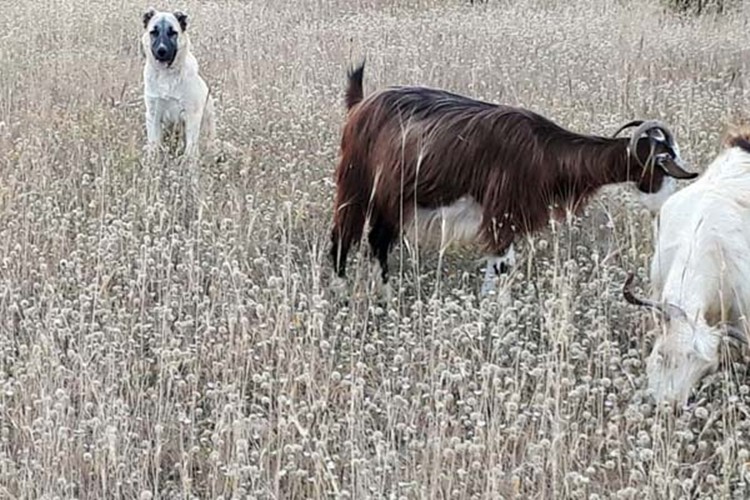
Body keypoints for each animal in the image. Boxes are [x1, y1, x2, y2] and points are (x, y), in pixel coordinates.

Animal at [142, 7, 216, 160]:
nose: (161, 51)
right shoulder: (153, 115)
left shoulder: (191, 115)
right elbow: (154, 145)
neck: (166, 76)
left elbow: (190, 151)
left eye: (173, 33)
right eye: (154, 32)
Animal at [330, 64, 700, 294]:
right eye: (664, 163)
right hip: (356, 183)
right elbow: (501, 265)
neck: (544, 151)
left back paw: (385, 295)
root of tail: (360, 105)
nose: (669, 204)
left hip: (391, 197)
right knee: (343, 234)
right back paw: (342, 290)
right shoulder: (501, 213)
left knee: (378, 240)